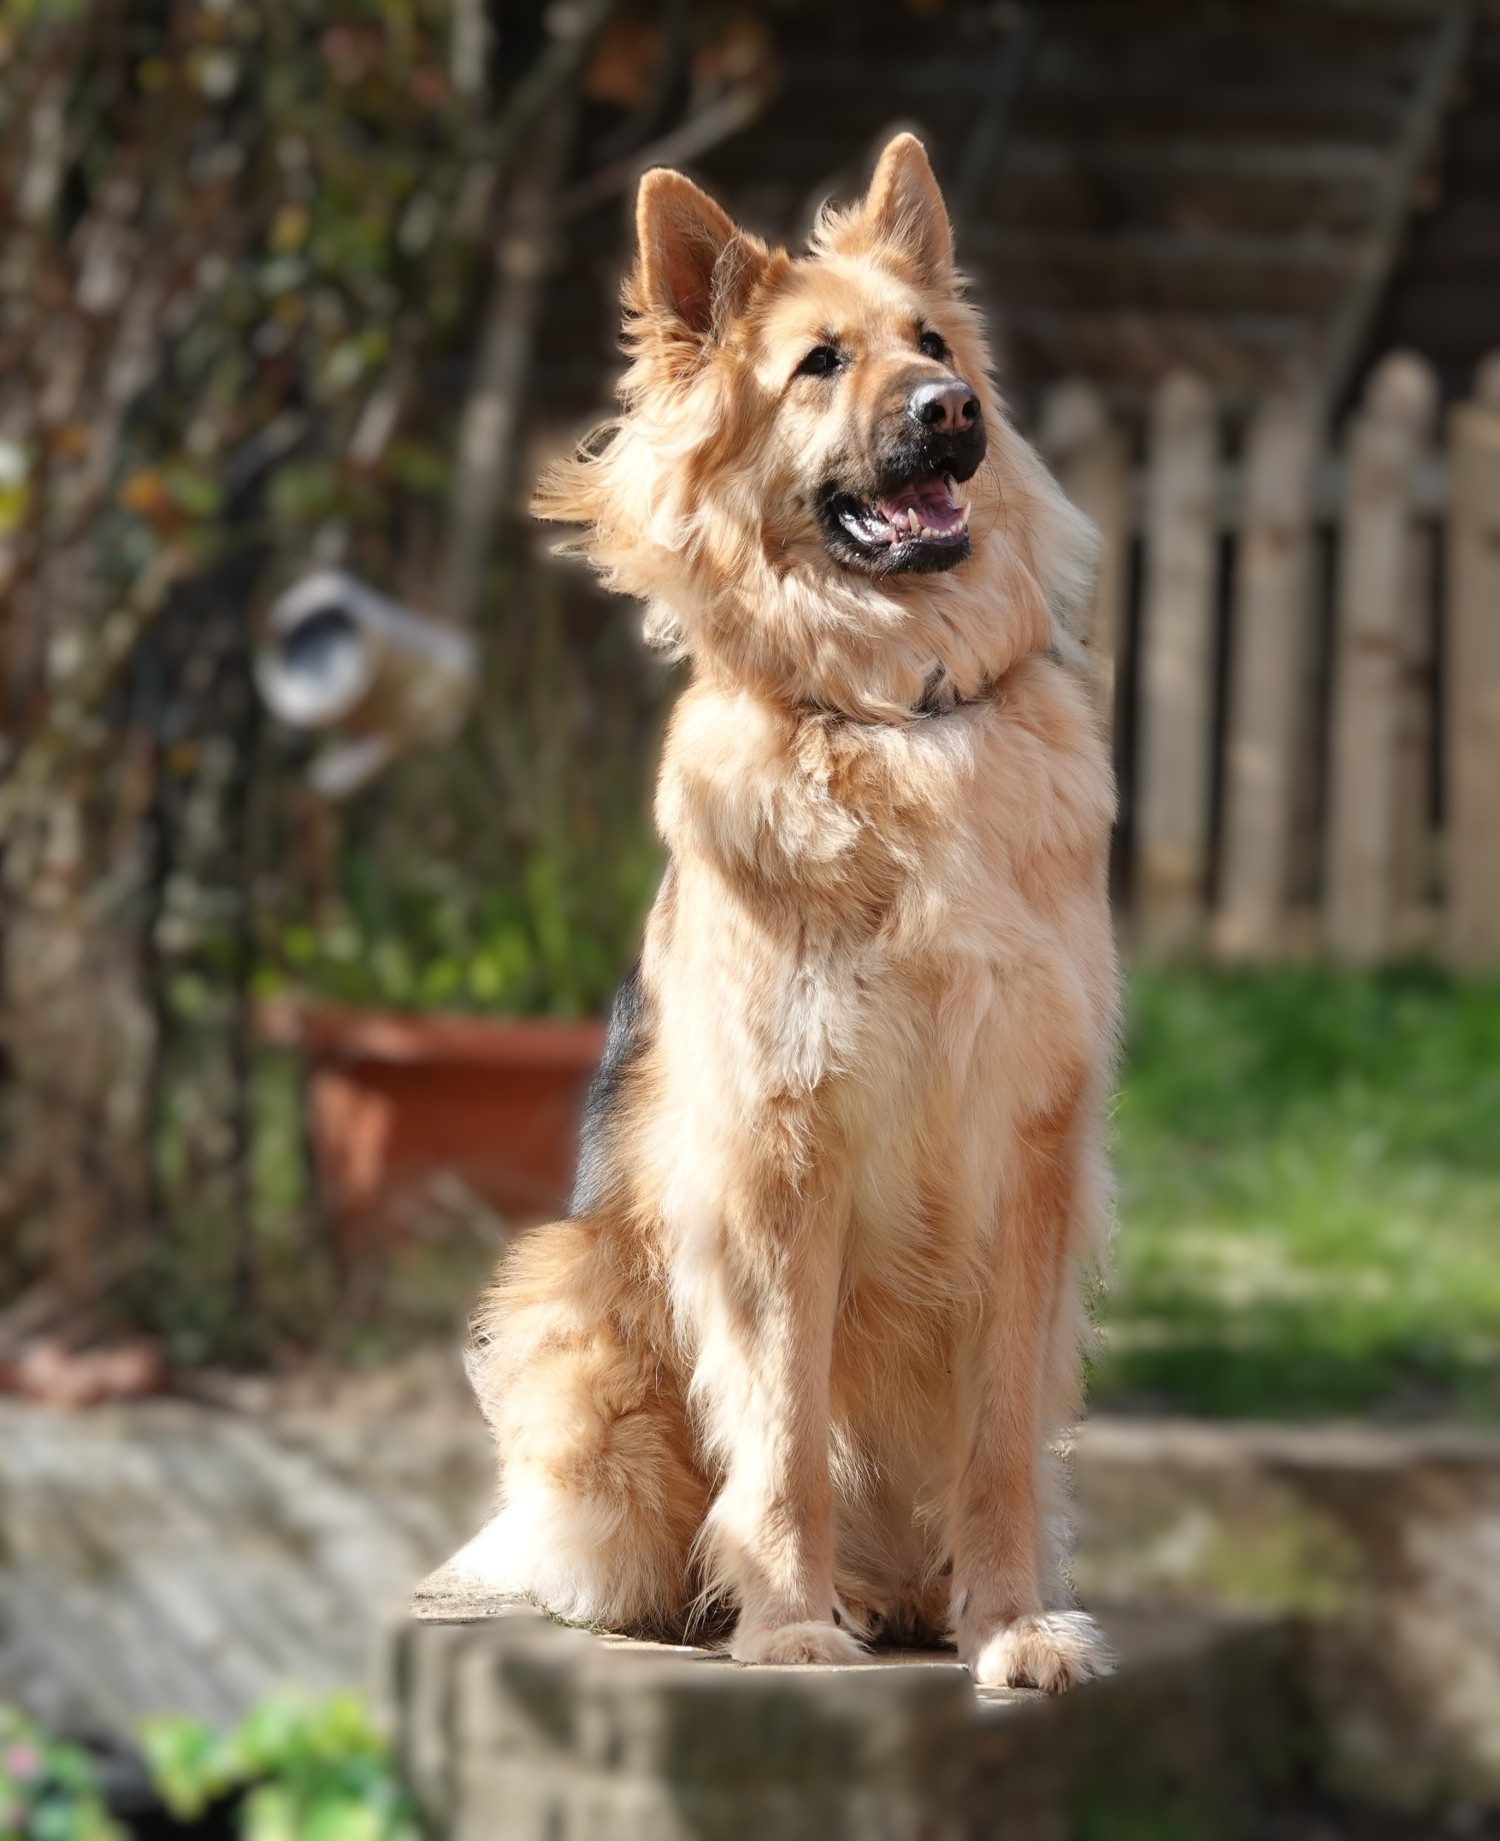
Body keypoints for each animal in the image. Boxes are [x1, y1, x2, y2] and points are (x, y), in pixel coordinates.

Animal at [455, 132, 1118, 1692]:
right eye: (820, 364)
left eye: (934, 344)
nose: (951, 412)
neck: (901, 718)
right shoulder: (775, 1161)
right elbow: (780, 1434)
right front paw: (788, 1623)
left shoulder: (1033, 1156)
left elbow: (1000, 1441)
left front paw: (1014, 1626)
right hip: (566, 1298)